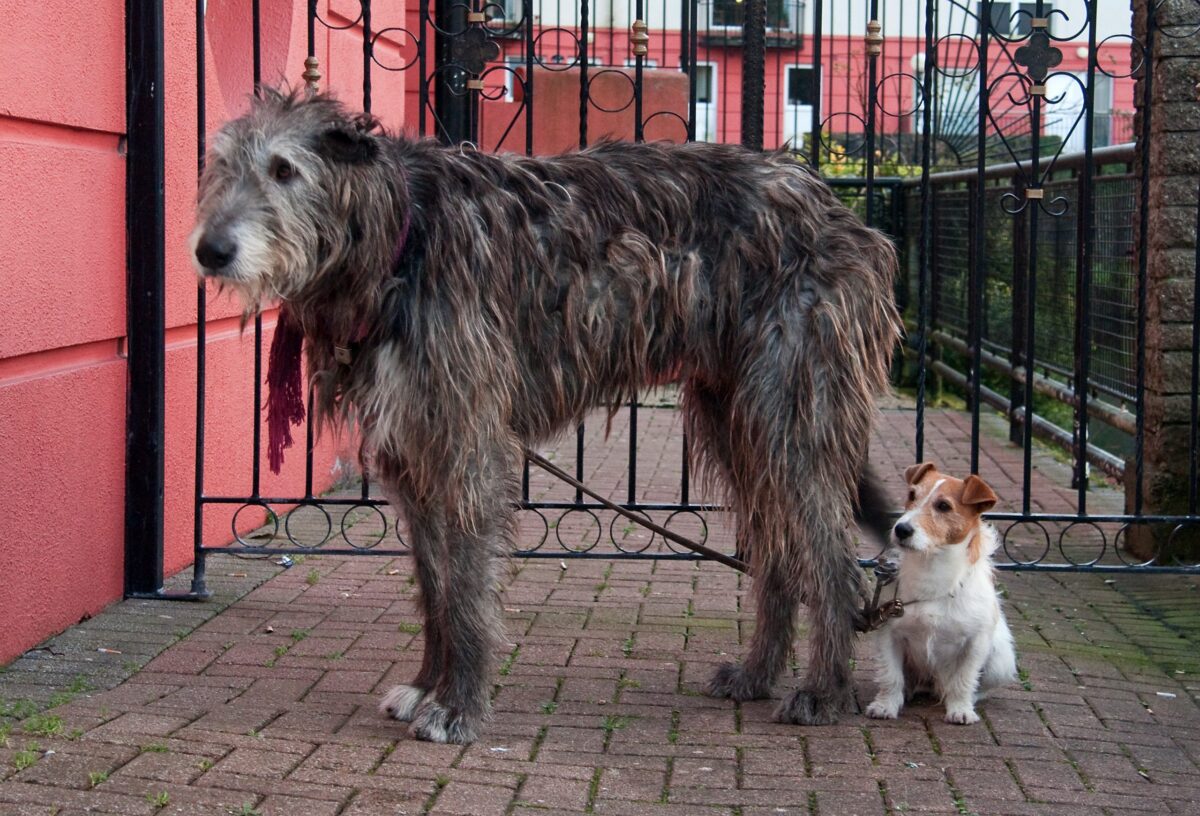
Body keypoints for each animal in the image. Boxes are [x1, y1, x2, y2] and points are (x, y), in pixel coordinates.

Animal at [189, 90, 902, 744]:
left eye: (285, 169)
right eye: (219, 165)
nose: (210, 250)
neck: (397, 236)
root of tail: (845, 214)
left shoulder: (465, 440)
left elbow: (466, 588)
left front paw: (457, 707)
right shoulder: (415, 451)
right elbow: (435, 585)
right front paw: (425, 687)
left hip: (790, 407)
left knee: (831, 557)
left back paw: (823, 690)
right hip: (736, 416)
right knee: (779, 551)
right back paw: (757, 675)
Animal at [868, 463, 1017, 724]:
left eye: (944, 506)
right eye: (911, 495)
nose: (901, 529)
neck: (932, 571)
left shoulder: (976, 643)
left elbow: (964, 680)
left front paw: (960, 709)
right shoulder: (889, 634)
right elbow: (891, 676)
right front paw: (886, 705)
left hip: (1001, 661)